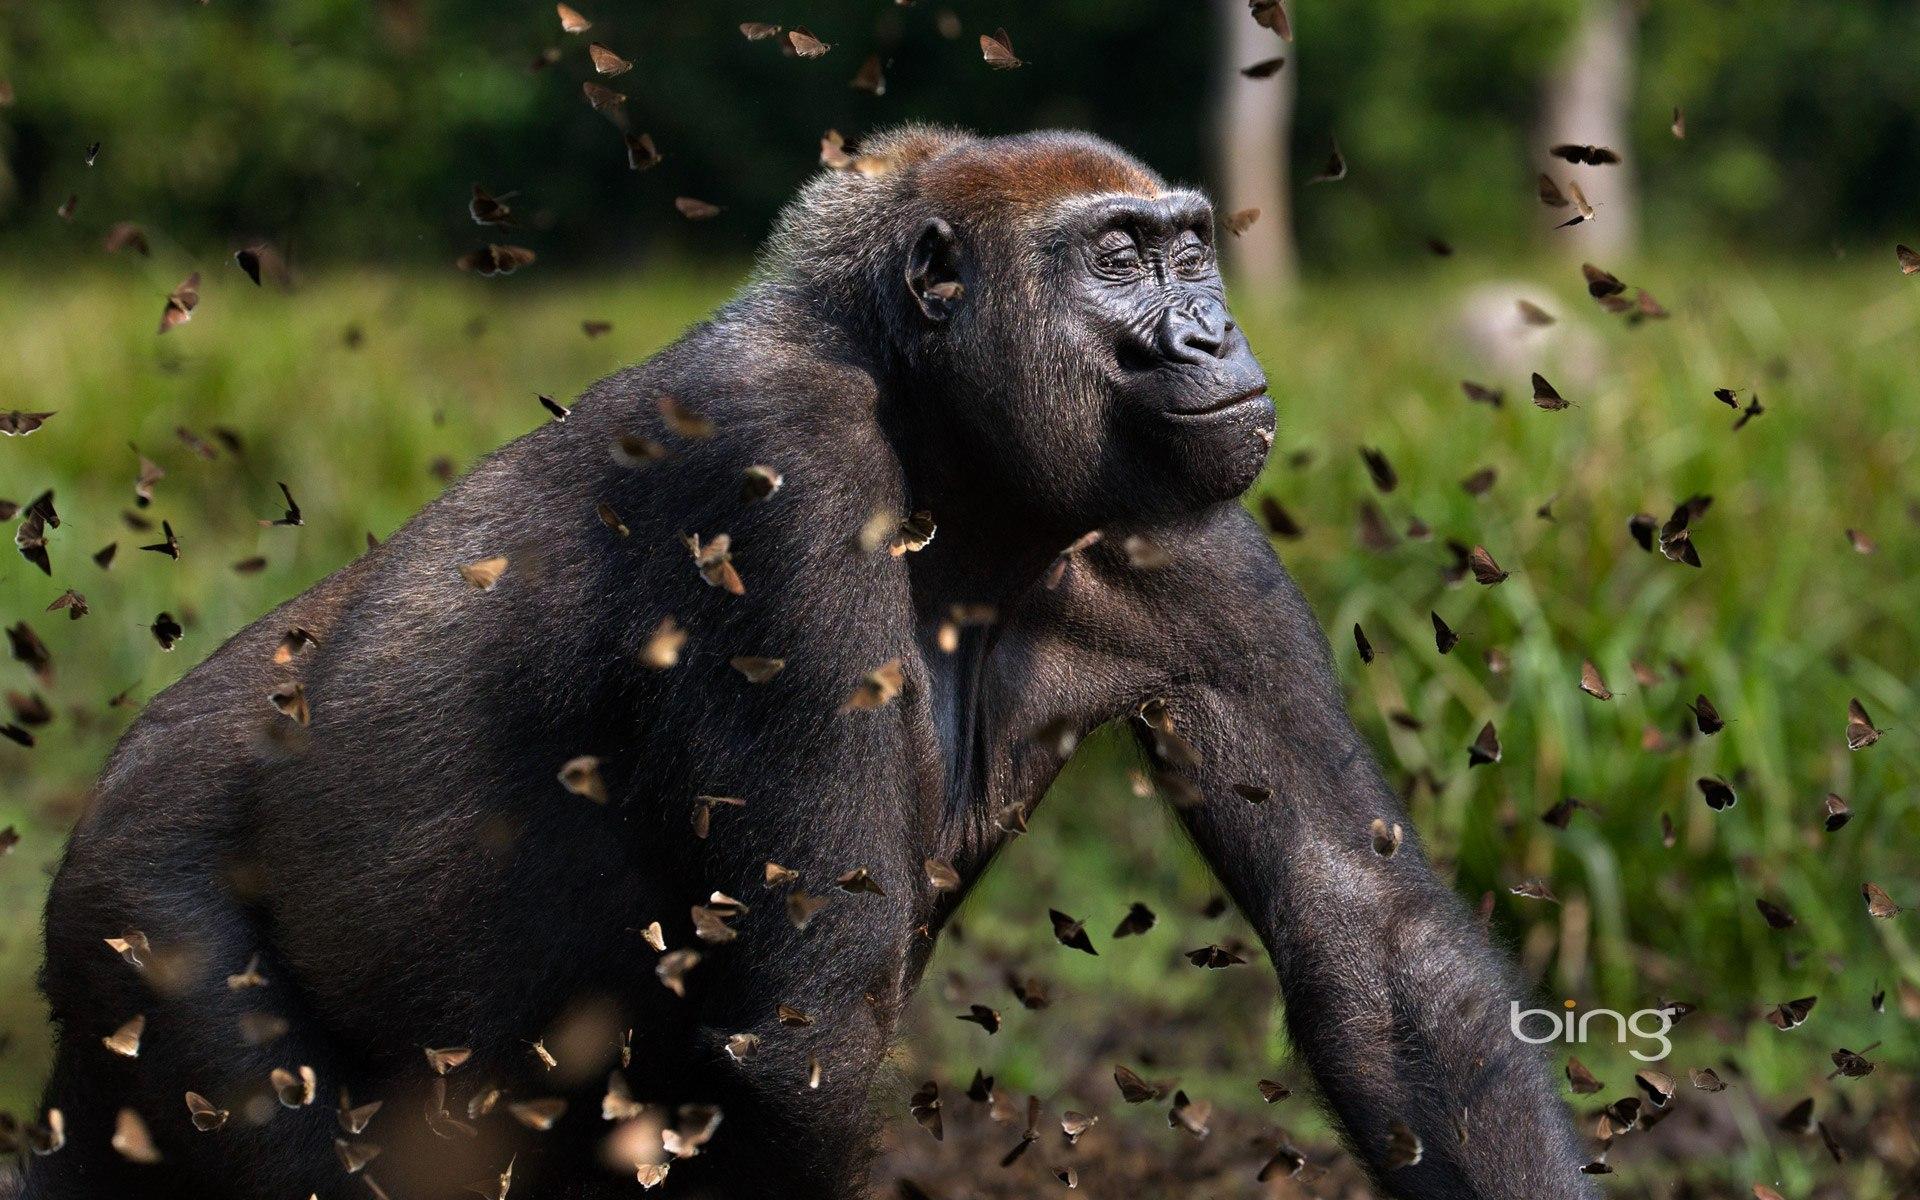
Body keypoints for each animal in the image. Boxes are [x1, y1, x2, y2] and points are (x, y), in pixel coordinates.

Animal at [26, 130, 1589, 1198]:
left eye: (1192, 247)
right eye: (1119, 259)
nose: (1213, 332)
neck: (931, 420)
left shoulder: (1191, 531)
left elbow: (1374, 935)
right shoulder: (779, 473)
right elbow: (808, 1025)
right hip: (143, 920)